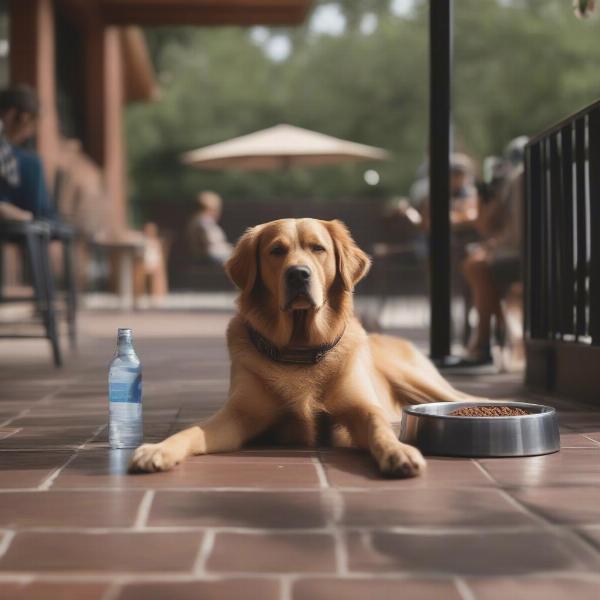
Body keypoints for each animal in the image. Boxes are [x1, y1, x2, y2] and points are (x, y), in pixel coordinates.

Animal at [132, 218, 478, 476]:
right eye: (276, 250)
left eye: (318, 248)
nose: (298, 274)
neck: (298, 351)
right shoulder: (238, 416)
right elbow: (192, 430)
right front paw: (159, 449)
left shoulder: (361, 409)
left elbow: (380, 427)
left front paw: (399, 451)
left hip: (416, 380)